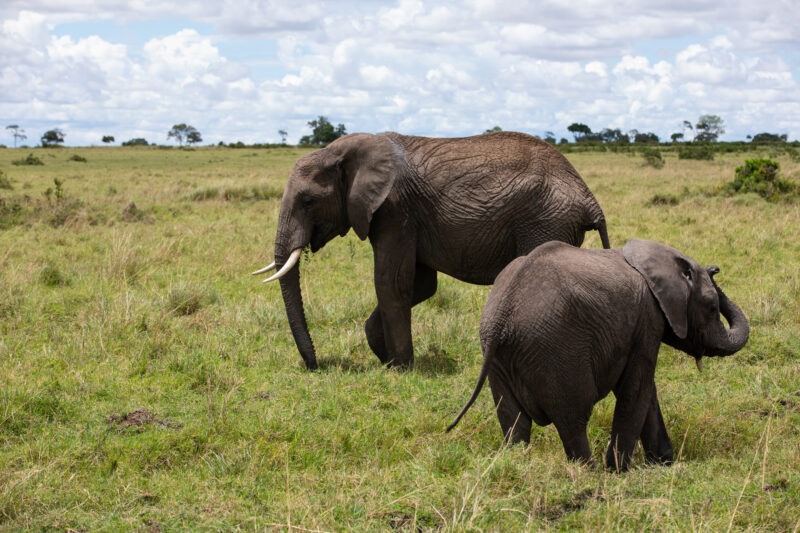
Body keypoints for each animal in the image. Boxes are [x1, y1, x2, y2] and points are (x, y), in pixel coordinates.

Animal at [254, 131, 610, 370]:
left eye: (308, 201)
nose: (316, 366)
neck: (343, 150)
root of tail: (588, 197)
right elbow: (422, 285)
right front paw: (383, 354)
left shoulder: (395, 209)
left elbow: (391, 283)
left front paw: (400, 368)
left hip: (546, 222)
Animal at [447, 238, 749, 471]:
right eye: (712, 308)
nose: (714, 268)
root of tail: (502, 313)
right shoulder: (647, 321)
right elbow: (637, 389)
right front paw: (619, 470)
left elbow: (646, 391)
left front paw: (663, 463)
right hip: (557, 351)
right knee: (574, 418)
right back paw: (590, 472)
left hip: (498, 355)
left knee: (514, 420)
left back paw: (518, 463)